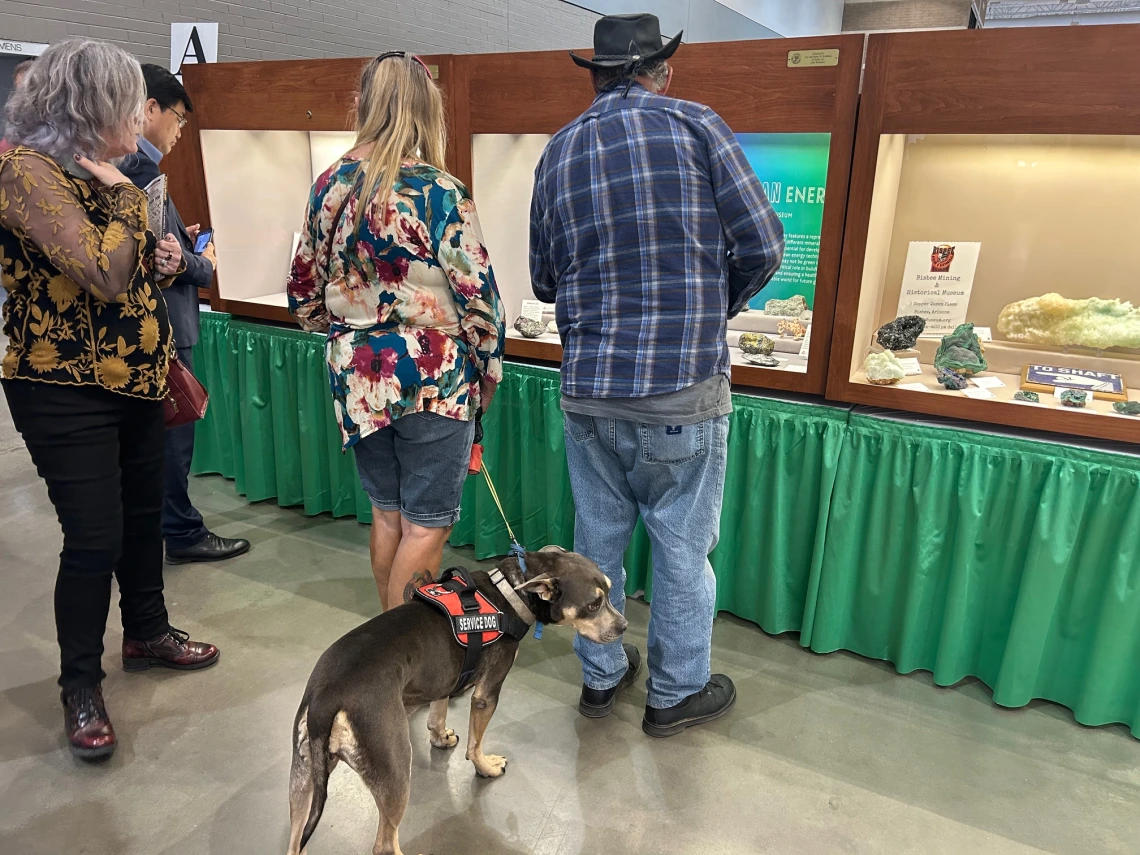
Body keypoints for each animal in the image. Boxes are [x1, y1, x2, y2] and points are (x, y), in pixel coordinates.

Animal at [285, 549, 624, 855]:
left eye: (610, 590)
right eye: (593, 604)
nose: (622, 626)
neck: (511, 591)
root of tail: (327, 697)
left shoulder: (445, 679)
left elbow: (438, 714)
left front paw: (440, 737)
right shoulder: (487, 694)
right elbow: (475, 744)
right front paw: (486, 767)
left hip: (303, 778)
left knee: (296, 840)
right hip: (394, 768)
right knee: (385, 844)